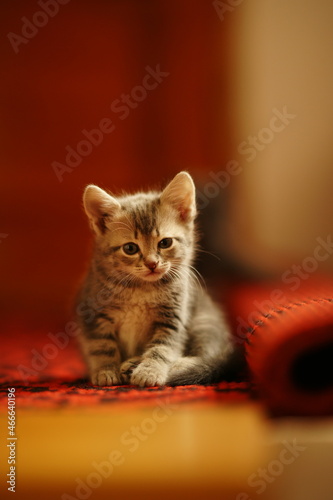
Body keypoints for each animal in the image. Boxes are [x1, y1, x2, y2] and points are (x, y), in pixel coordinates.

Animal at [75, 172, 236, 386]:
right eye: (130, 248)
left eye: (165, 243)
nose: (152, 264)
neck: (141, 288)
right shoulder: (93, 313)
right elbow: (101, 345)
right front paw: (106, 370)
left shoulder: (172, 318)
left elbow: (162, 348)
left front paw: (149, 371)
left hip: (204, 323)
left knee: (206, 358)